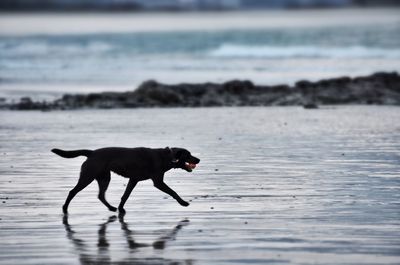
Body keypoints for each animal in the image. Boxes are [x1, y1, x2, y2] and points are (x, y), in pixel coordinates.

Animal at [51, 147, 200, 213]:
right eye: (188, 154)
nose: (198, 159)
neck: (166, 156)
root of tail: (92, 152)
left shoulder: (133, 180)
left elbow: (125, 196)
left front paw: (121, 208)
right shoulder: (158, 182)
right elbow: (173, 192)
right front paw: (183, 203)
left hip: (104, 177)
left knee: (101, 195)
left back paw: (111, 208)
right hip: (88, 176)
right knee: (72, 191)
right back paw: (64, 208)